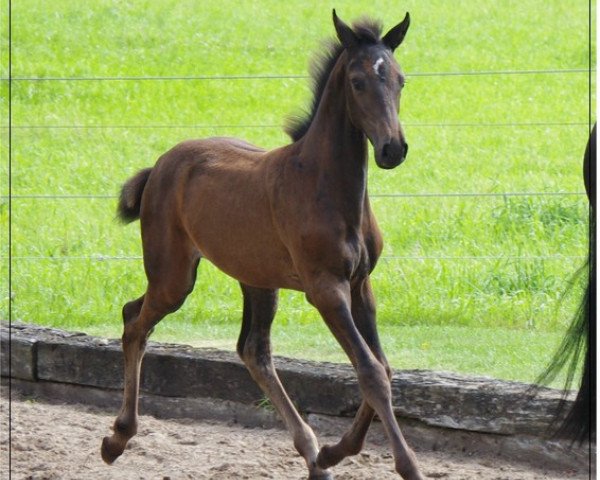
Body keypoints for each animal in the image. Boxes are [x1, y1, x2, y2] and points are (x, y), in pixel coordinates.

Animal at [101, 8, 424, 480]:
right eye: (358, 81)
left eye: (400, 79)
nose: (392, 149)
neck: (324, 184)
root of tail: (159, 166)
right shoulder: (326, 289)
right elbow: (370, 372)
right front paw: (406, 465)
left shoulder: (361, 286)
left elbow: (382, 367)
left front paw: (334, 451)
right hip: (173, 276)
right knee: (135, 322)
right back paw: (117, 438)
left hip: (255, 278)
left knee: (252, 350)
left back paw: (313, 454)